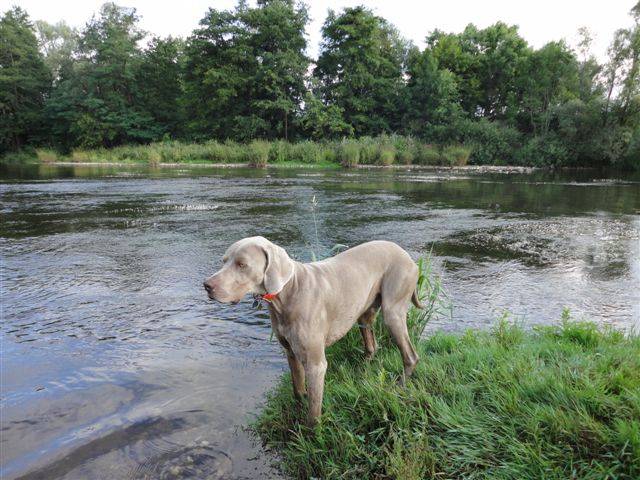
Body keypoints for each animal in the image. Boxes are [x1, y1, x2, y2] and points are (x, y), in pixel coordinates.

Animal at [204, 236, 422, 425]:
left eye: (242, 264)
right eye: (224, 261)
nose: (206, 285)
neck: (288, 293)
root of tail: (406, 255)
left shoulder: (316, 364)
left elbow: (314, 412)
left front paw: (312, 435)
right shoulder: (290, 352)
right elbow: (298, 390)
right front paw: (296, 414)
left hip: (392, 311)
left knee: (410, 355)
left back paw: (399, 386)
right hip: (365, 314)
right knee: (372, 345)